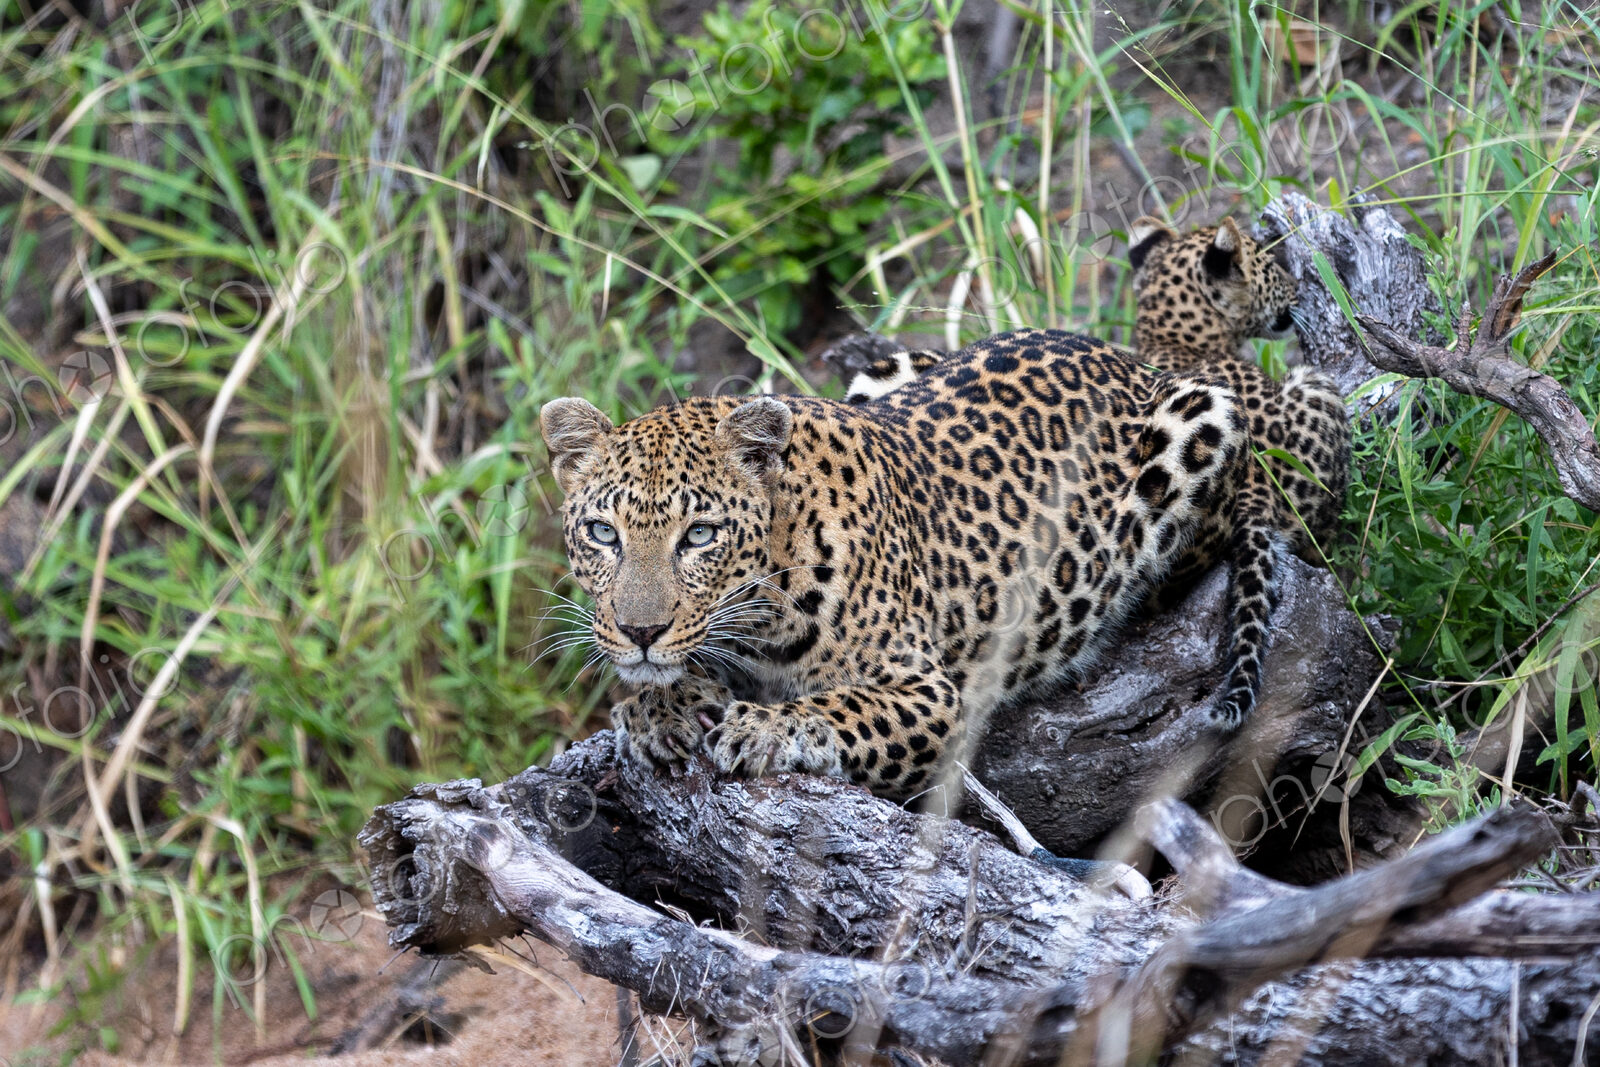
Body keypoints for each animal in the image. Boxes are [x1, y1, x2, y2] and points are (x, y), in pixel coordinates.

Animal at [542, 324, 1272, 801]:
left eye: (698, 535)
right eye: (603, 533)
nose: (640, 632)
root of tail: (1129, 360)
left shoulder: (931, 695)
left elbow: (843, 706)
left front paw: (764, 727)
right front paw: (657, 705)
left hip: (1202, 420)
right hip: (888, 368)